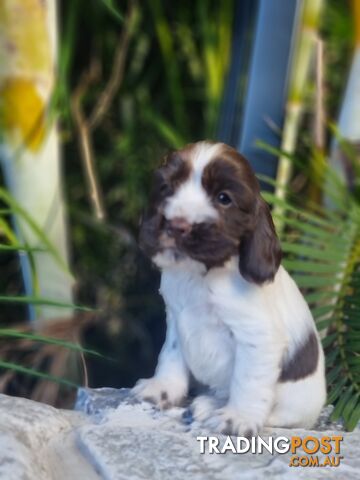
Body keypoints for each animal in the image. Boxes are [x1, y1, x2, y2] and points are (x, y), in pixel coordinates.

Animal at [132, 140, 326, 436]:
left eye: (224, 198)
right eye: (167, 188)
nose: (177, 226)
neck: (201, 275)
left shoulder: (257, 336)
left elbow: (248, 381)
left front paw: (238, 418)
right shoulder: (176, 317)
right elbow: (171, 354)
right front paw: (162, 388)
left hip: (298, 405)